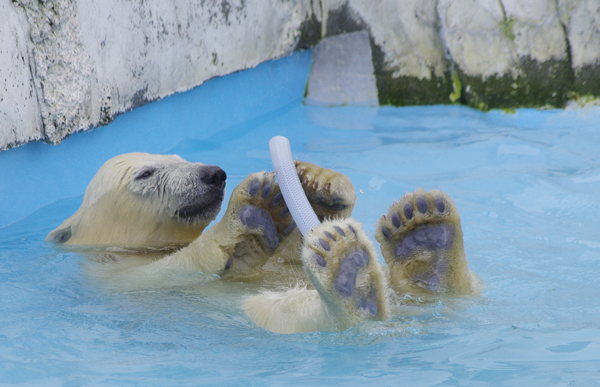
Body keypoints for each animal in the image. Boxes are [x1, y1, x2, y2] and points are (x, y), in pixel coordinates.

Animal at [45, 153, 478, 334]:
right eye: (146, 173)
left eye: (179, 156)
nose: (213, 174)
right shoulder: (116, 278)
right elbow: (167, 271)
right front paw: (252, 208)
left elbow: (285, 257)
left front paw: (316, 182)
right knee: (280, 310)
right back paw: (350, 276)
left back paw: (424, 234)